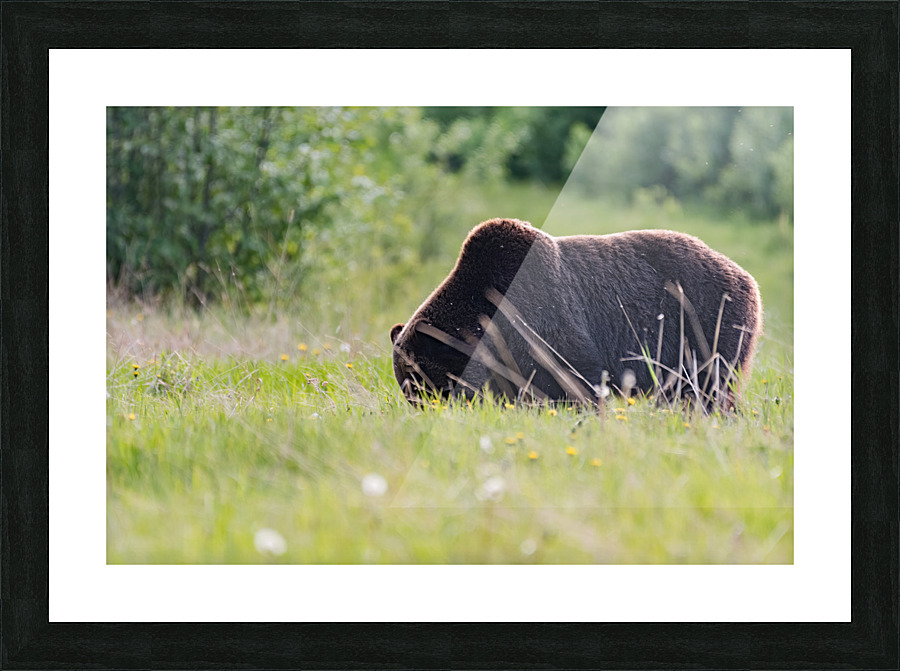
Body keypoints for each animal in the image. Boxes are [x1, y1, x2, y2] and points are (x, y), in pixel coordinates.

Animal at [390, 218, 763, 408]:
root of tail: (746, 275)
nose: (421, 408)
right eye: (404, 381)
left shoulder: (544, 315)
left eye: (418, 380)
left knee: (708, 388)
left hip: (706, 323)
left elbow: (574, 374)